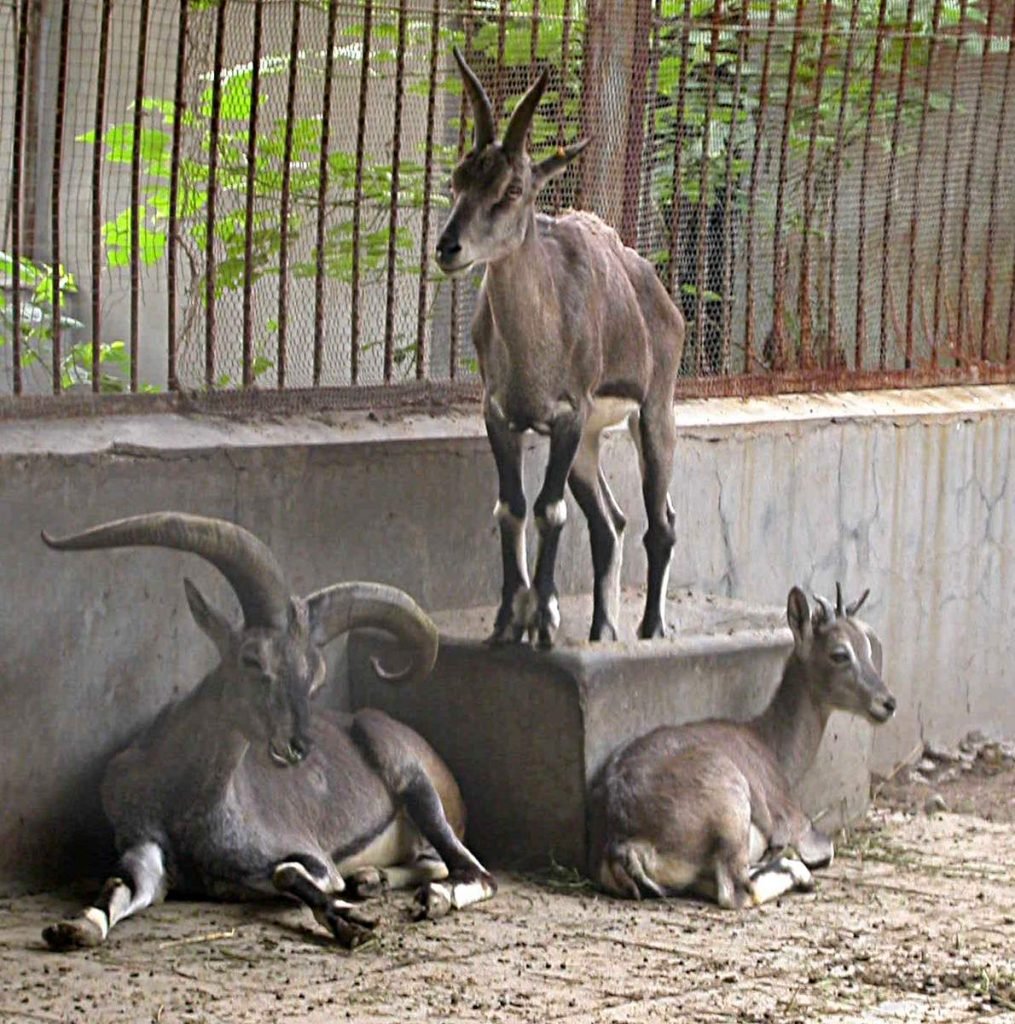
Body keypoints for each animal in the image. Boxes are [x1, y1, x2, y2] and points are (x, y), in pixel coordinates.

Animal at [41, 512, 497, 950]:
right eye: (251, 659)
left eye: (315, 676)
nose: (299, 745)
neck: (185, 803)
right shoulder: (145, 847)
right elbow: (120, 882)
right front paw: (75, 927)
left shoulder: (310, 857)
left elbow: (288, 873)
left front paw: (352, 920)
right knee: (428, 862)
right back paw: (372, 879)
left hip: (412, 780)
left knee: (475, 871)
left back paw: (431, 897)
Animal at [585, 585, 897, 905]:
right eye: (839, 654)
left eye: (867, 648)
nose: (887, 703)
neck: (771, 743)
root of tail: (621, 842)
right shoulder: (794, 819)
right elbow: (825, 850)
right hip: (731, 804)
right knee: (736, 889)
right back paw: (795, 870)